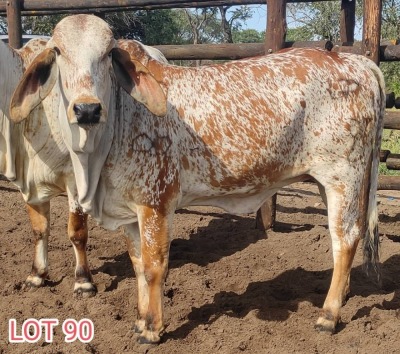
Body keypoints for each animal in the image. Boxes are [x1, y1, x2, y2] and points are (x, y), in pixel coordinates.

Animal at [8, 15, 384, 344]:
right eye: (58, 52)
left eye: (107, 53)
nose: (87, 109)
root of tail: (354, 62)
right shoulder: (129, 211)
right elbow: (137, 265)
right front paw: (141, 320)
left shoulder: (156, 203)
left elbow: (154, 266)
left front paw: (152, 329)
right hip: (328, 181)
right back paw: (343, 295)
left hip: (343, 176)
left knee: (345, 238)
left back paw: (329, 315)